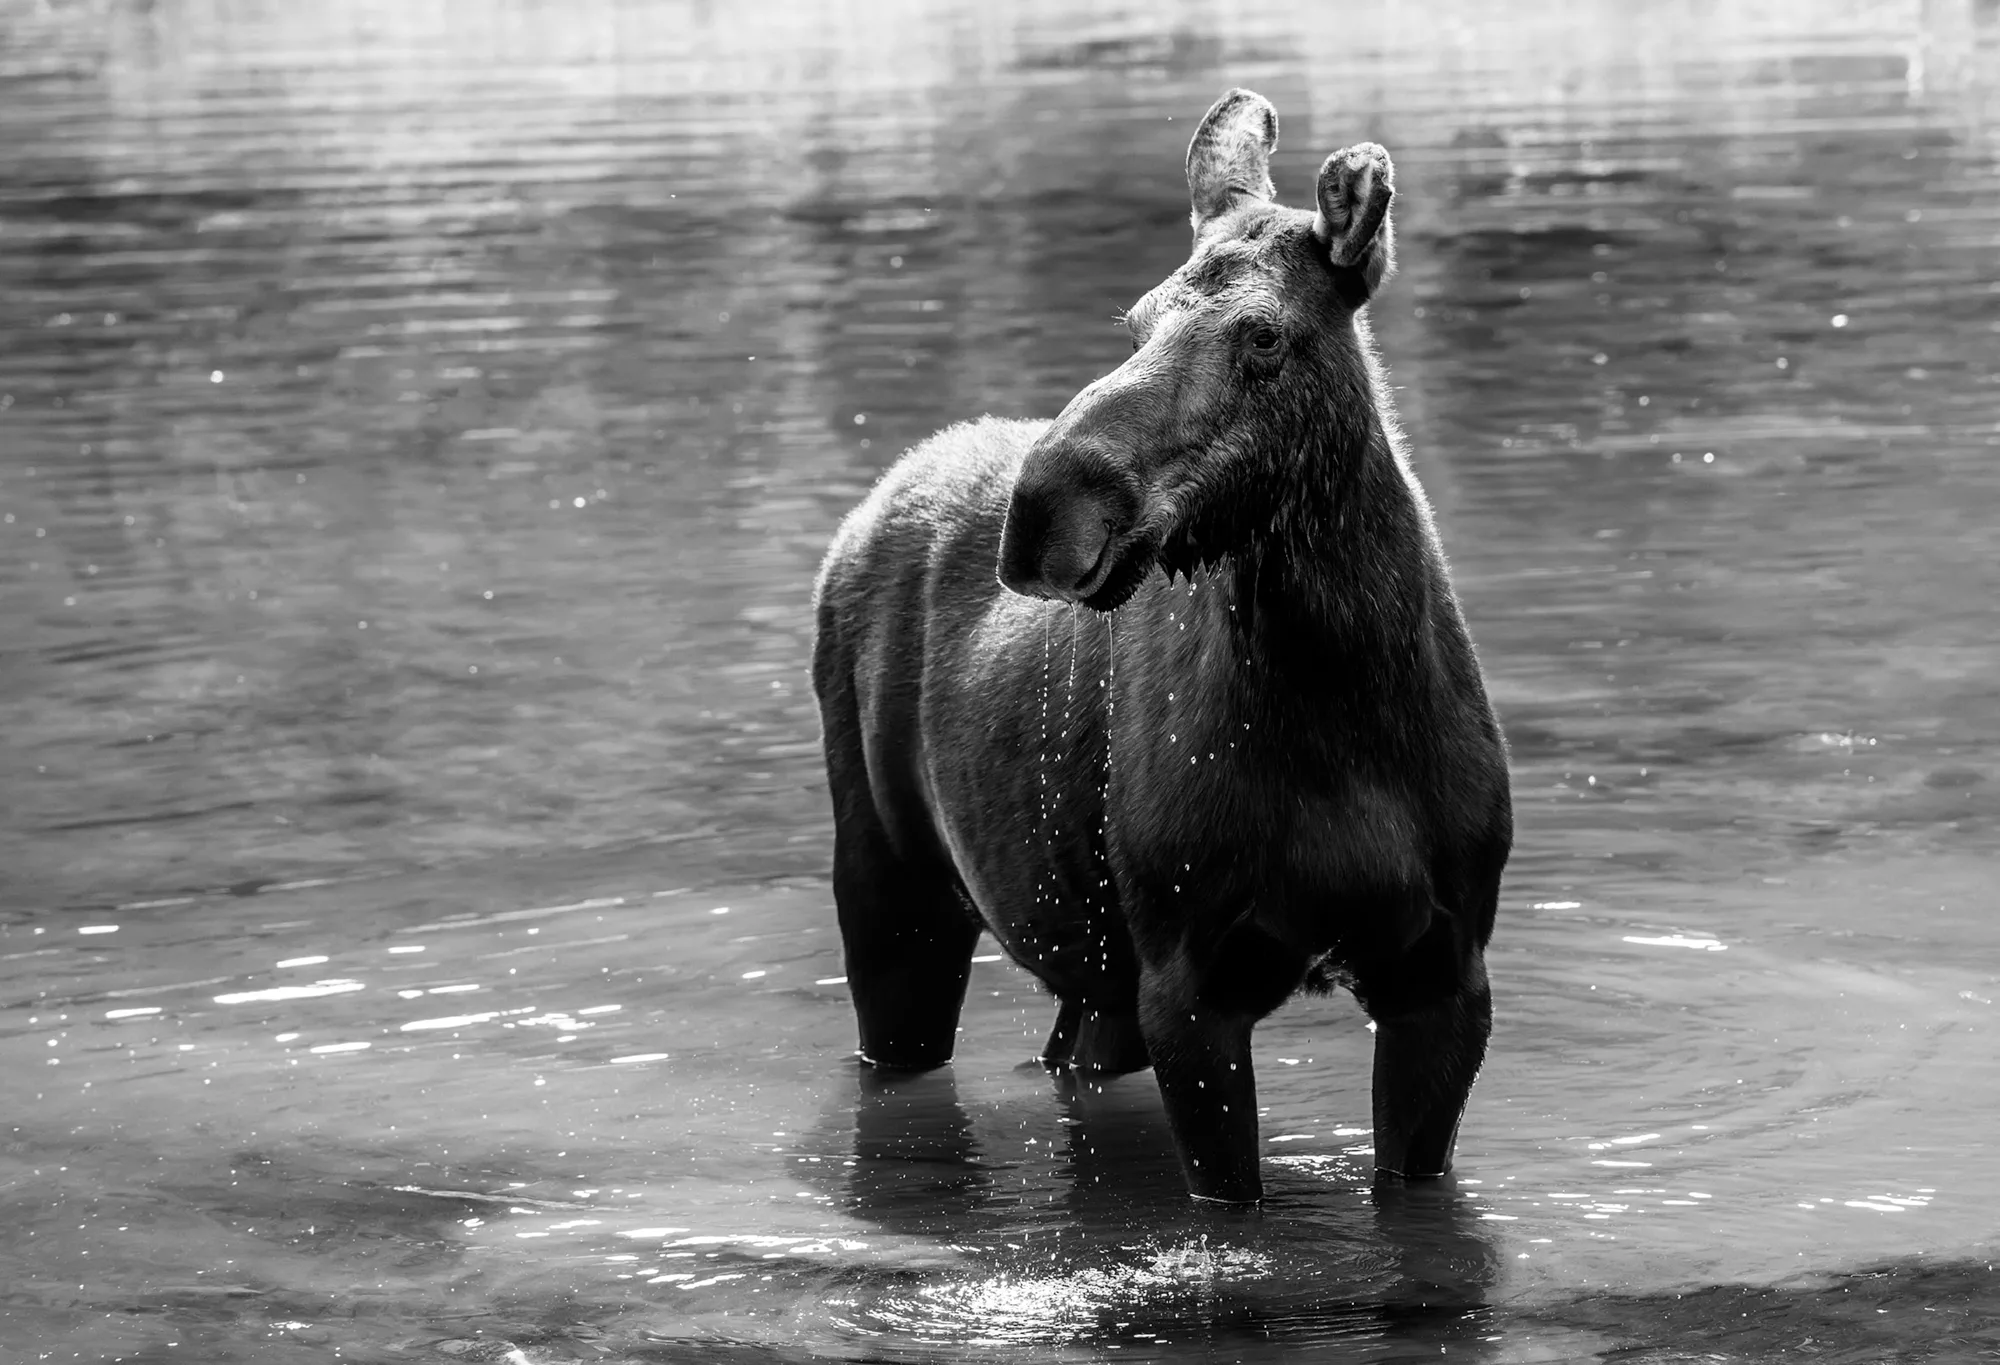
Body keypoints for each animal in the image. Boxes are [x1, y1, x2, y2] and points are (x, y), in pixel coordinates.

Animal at [811, 89, 1511, 1203]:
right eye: (1136, 320)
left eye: (1263, 337)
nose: (1046, 510)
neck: (1340, 697)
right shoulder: (1189, 987)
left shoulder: (1442, 977)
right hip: (891, 894)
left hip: (1091, 975)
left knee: (1061, 1059)